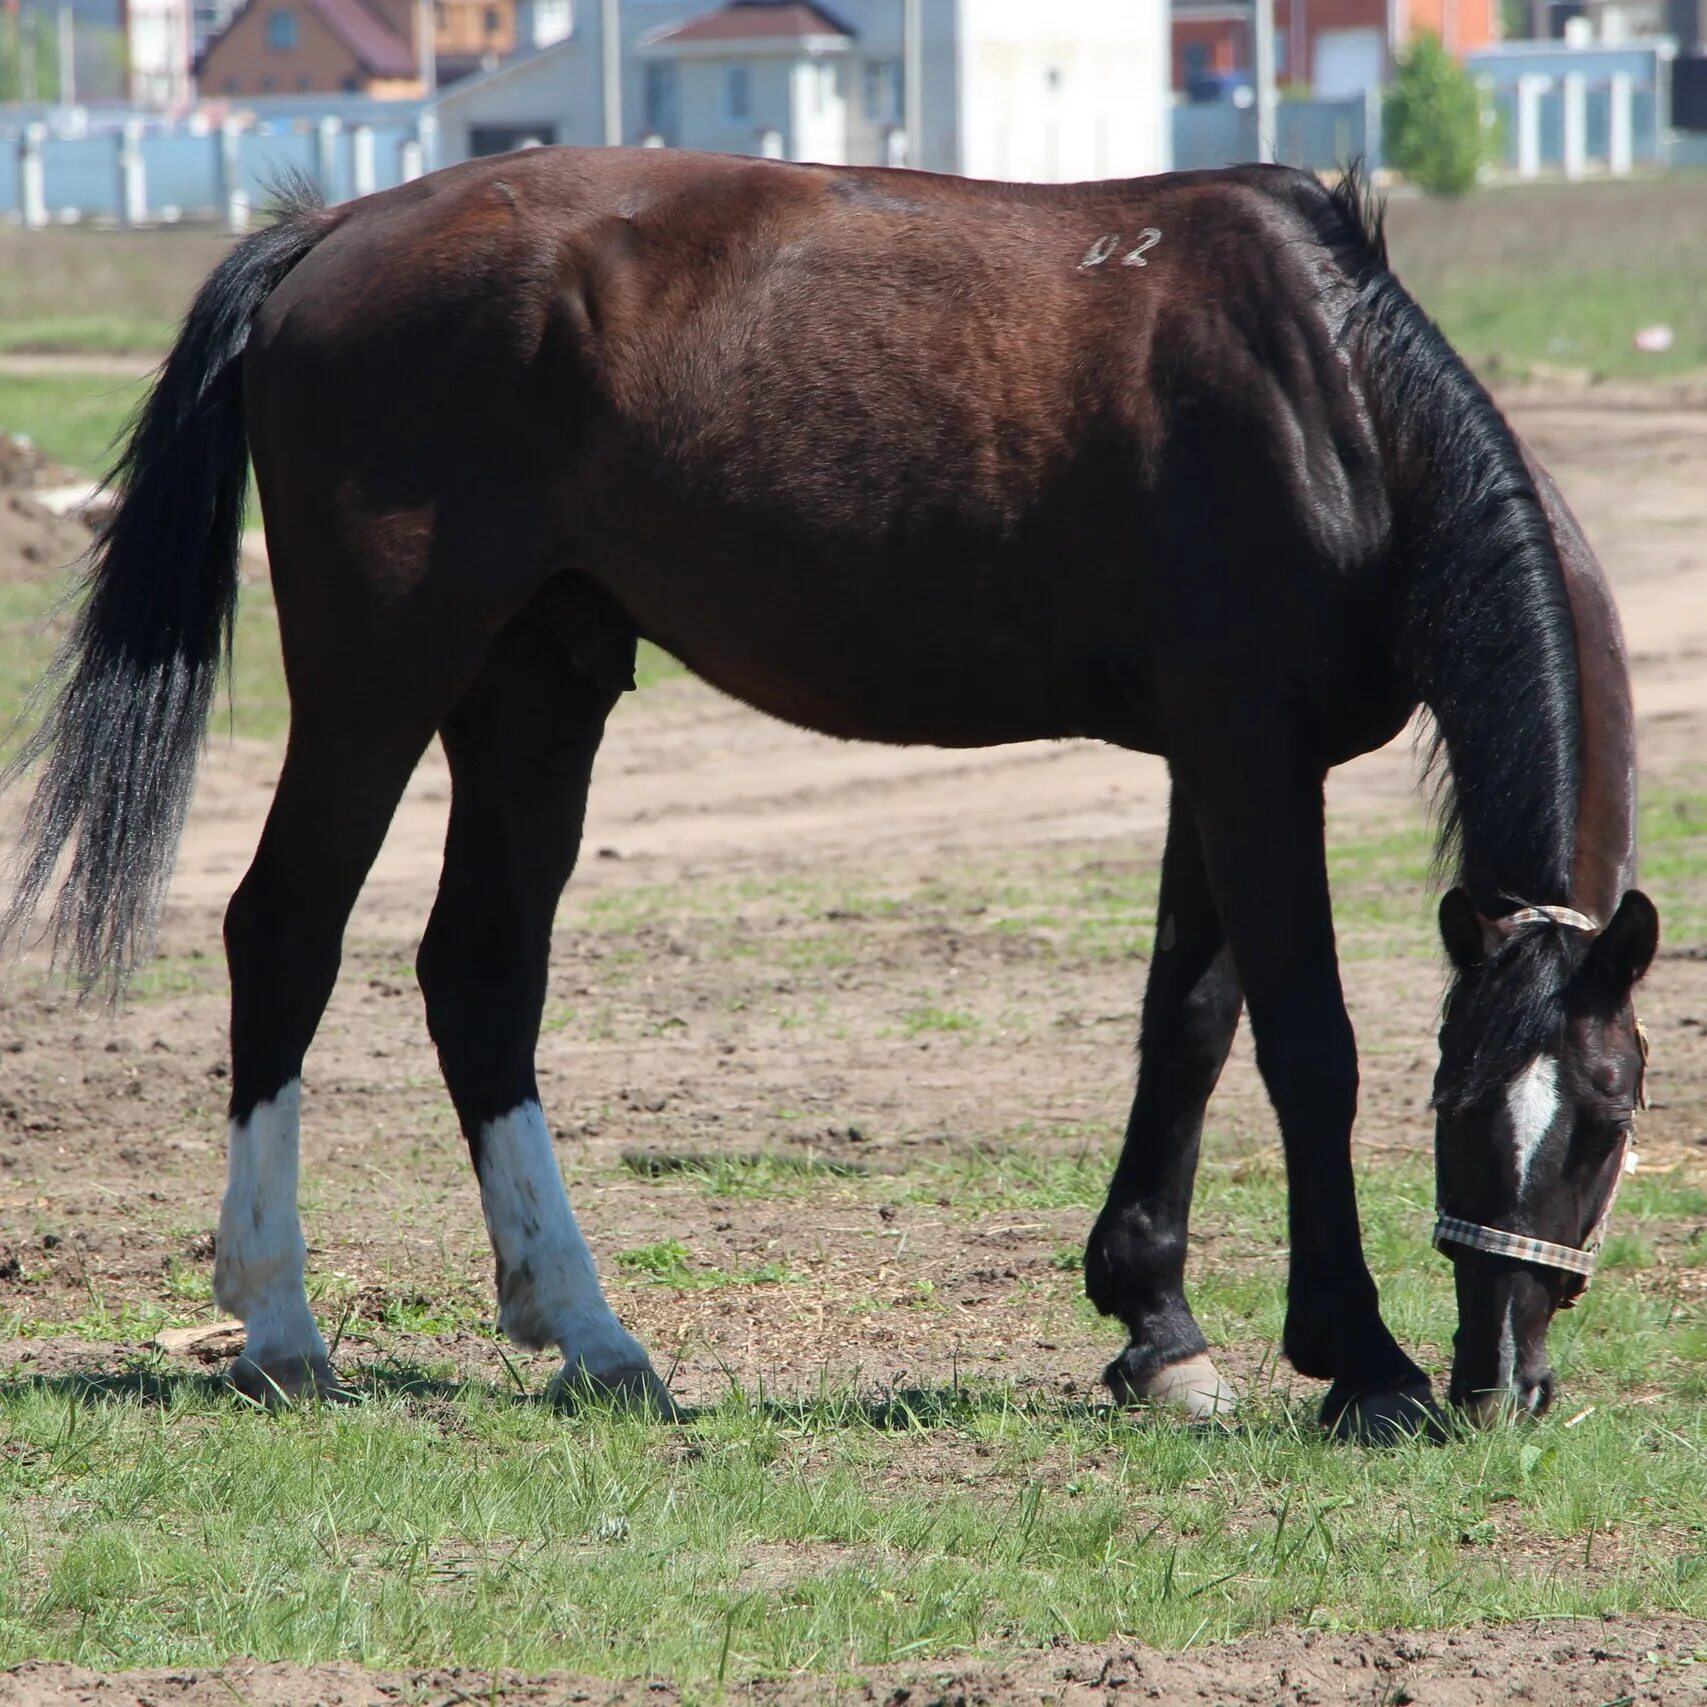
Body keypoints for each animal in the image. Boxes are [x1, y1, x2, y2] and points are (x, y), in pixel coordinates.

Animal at [0, 153, 1652, 1440]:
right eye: (1466, 1109)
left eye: (1602, 1117)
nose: (1504, 1380)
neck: (1330, 400)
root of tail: (328, 229)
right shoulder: (1250, 752)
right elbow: (1305, 1043)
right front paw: (1360, 1361)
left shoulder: (1218, 756)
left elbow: (1184, 1024)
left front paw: (1156, 1328)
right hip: (381, 672)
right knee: (283, 932)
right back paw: (281, 1326)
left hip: (535, 682)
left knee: (478, 972)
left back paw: (588, 1334)